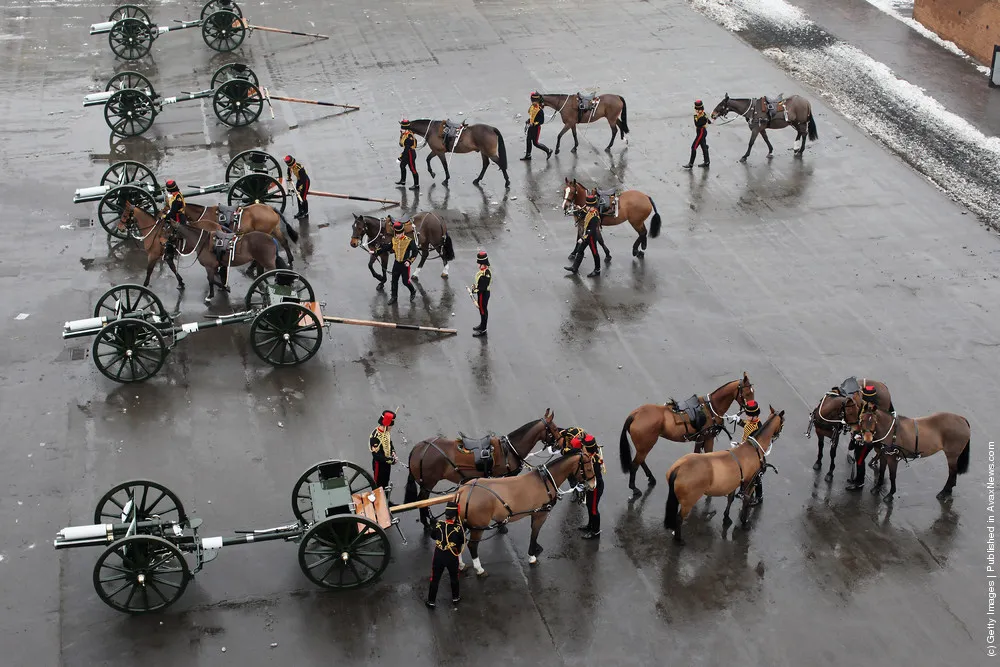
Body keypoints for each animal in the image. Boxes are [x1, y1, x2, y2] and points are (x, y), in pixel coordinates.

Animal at [404, 410, 564, 528]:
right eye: (555, 429)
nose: (561, 444)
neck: (509, 450)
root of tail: (418, 448)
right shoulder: (505, 478)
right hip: (428, 483)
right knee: (422, 500)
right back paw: (426, 522)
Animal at [458, 448, 596, 576]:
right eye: (589, 468)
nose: (593, 485)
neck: (545, 481)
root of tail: (463, 491)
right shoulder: (541, 515)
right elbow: (534, 533)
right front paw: (532, 556)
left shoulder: (535, 513)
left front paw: (536, 548)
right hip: (478, 527)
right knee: (472, 546)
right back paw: (479, 569)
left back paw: (461, 565)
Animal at [620, 374, 752, 498]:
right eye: (747, 393)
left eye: (752, 392)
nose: (751, 409)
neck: (711, 408)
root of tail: (635, 415)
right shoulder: (703, 438)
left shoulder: (707, 439)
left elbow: (708, 454)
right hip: (646, 445)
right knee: (635, 464)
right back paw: (634, 487)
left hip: (644, 446)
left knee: (641, 461)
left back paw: (650, 478)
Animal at [664, 408, 788, 544]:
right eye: (782, 421)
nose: (778, 434)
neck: (753, 448)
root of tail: (679, 468)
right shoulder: (751, 482)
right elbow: (746, 501)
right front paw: (744, 522)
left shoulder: (734, 482)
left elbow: (730, 499)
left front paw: (726, 517)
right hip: (688, 502)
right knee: (679, 518)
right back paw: (679, 539)